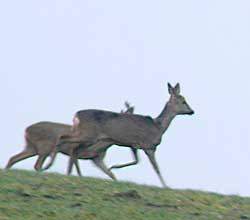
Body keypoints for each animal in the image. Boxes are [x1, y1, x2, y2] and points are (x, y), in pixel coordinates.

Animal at [4, 102, 135, 180]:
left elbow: (111, 174)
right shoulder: (74, 150)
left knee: (13, 158)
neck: (101, 145)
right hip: (45, 146)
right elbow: (73, 169)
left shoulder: (96, 158)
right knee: (37, 165)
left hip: (32, 147)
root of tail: (26, 129)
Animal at [44, 82, 194, 187]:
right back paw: (49, 165)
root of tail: (76, 115)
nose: (192, 111)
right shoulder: (148, 145)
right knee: (64, 139)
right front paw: (165, 185)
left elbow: (136, 161)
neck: (158, 126)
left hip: (90, 138)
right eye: (183, 101)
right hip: (88, 134)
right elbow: (156, 168)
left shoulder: (133, 144)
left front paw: (114, 167)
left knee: (75, 149)